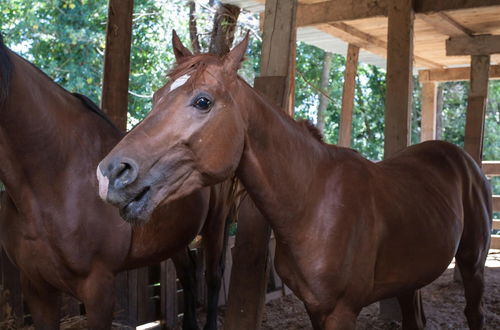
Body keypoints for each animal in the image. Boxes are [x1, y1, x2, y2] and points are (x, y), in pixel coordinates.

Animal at [97, 34, 492, 330]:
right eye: (155, 98)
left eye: (203, 101)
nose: (110, 173)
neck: (314, 202)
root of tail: (464, 161)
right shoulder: (315, 308)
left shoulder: (342, 312)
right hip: (410, 280)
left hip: (472, 265)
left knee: (474, 312)